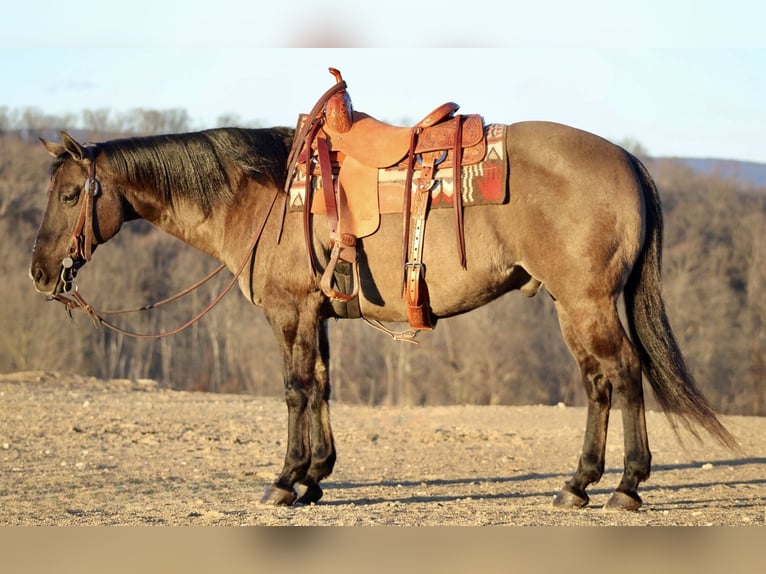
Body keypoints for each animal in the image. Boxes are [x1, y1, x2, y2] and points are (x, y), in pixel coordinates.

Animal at [28, 116, 736, 508]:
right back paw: (579, 484)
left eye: (70, 194)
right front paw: (316, 477)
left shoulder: (290, 313)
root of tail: (627, 160)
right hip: (573, 306)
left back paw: (625, 487)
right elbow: (322, 386)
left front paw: (284, 481)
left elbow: (295, 389)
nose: (38, 273)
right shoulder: (317, 316)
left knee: (624, 375)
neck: (261, 196)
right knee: (597, 383)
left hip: (586, 303)